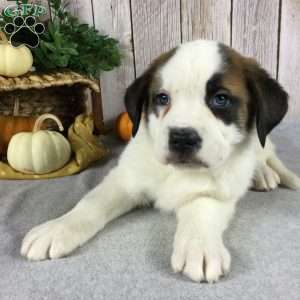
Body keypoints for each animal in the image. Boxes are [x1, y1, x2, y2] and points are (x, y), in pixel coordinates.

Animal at [21, 40, 300, 284]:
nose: (182, 137)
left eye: (220, 99)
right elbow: (91, 203)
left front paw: (199, 247)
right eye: (162, 98)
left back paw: (264, 173)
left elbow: (202, 208)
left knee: (266, 153)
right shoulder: (125, 179)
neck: (176, 171)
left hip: (262, 141)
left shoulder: (220, 191)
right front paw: (56, 228)